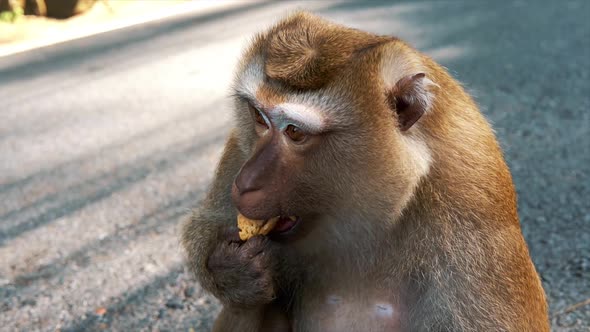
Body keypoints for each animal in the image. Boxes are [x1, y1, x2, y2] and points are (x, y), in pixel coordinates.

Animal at [183, 11, 552, 330]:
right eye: (259, 118)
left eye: (295, 132)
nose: (244, 183)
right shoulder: (239, 148)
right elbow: (206, 224)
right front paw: (231, 270)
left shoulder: (470, 195)